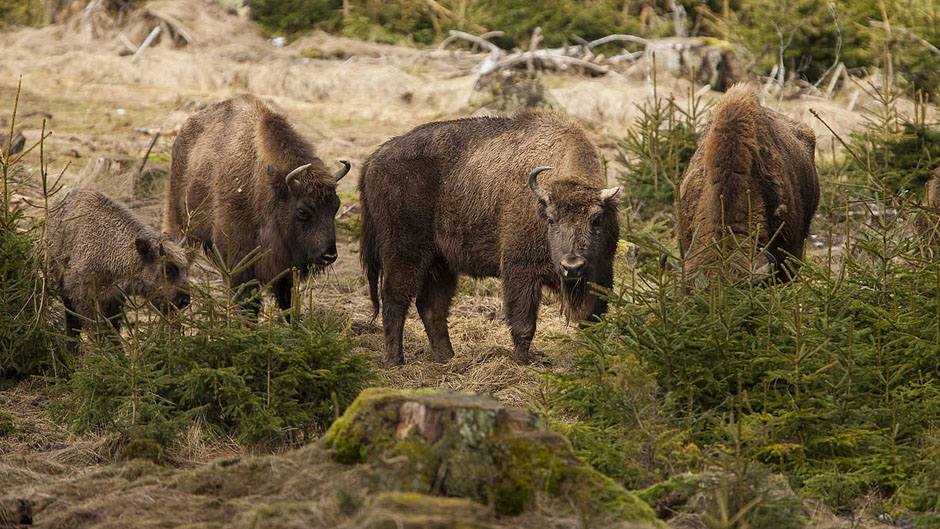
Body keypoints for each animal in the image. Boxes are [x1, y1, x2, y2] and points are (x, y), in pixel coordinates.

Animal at [46, 188, 192, 352]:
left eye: (186, 269)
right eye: (168, 269)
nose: (184, 300)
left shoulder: (113, 300)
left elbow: (113, 332)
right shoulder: (83, 297)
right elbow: (96, 330)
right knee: (71, 322)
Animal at [163, 94, 350, 312]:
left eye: (335, 207)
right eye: (302, 211)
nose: (329, 255)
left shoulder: (283, 267)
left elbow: (286, 301)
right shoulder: (239, 256)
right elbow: (248, 300)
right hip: (180, 222)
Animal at [362, 111, 624, 368]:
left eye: (597, 220)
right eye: (551, 219)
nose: (572, 266)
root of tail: (374, 159)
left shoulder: (601, 274)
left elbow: (592, 321)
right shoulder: (520, 271)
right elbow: (524, 323)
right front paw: (522, 361)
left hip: (441, 263)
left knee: (431, 307)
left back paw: (448, 358)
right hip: (404, 254)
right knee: (395, 300)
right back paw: (394, 362)